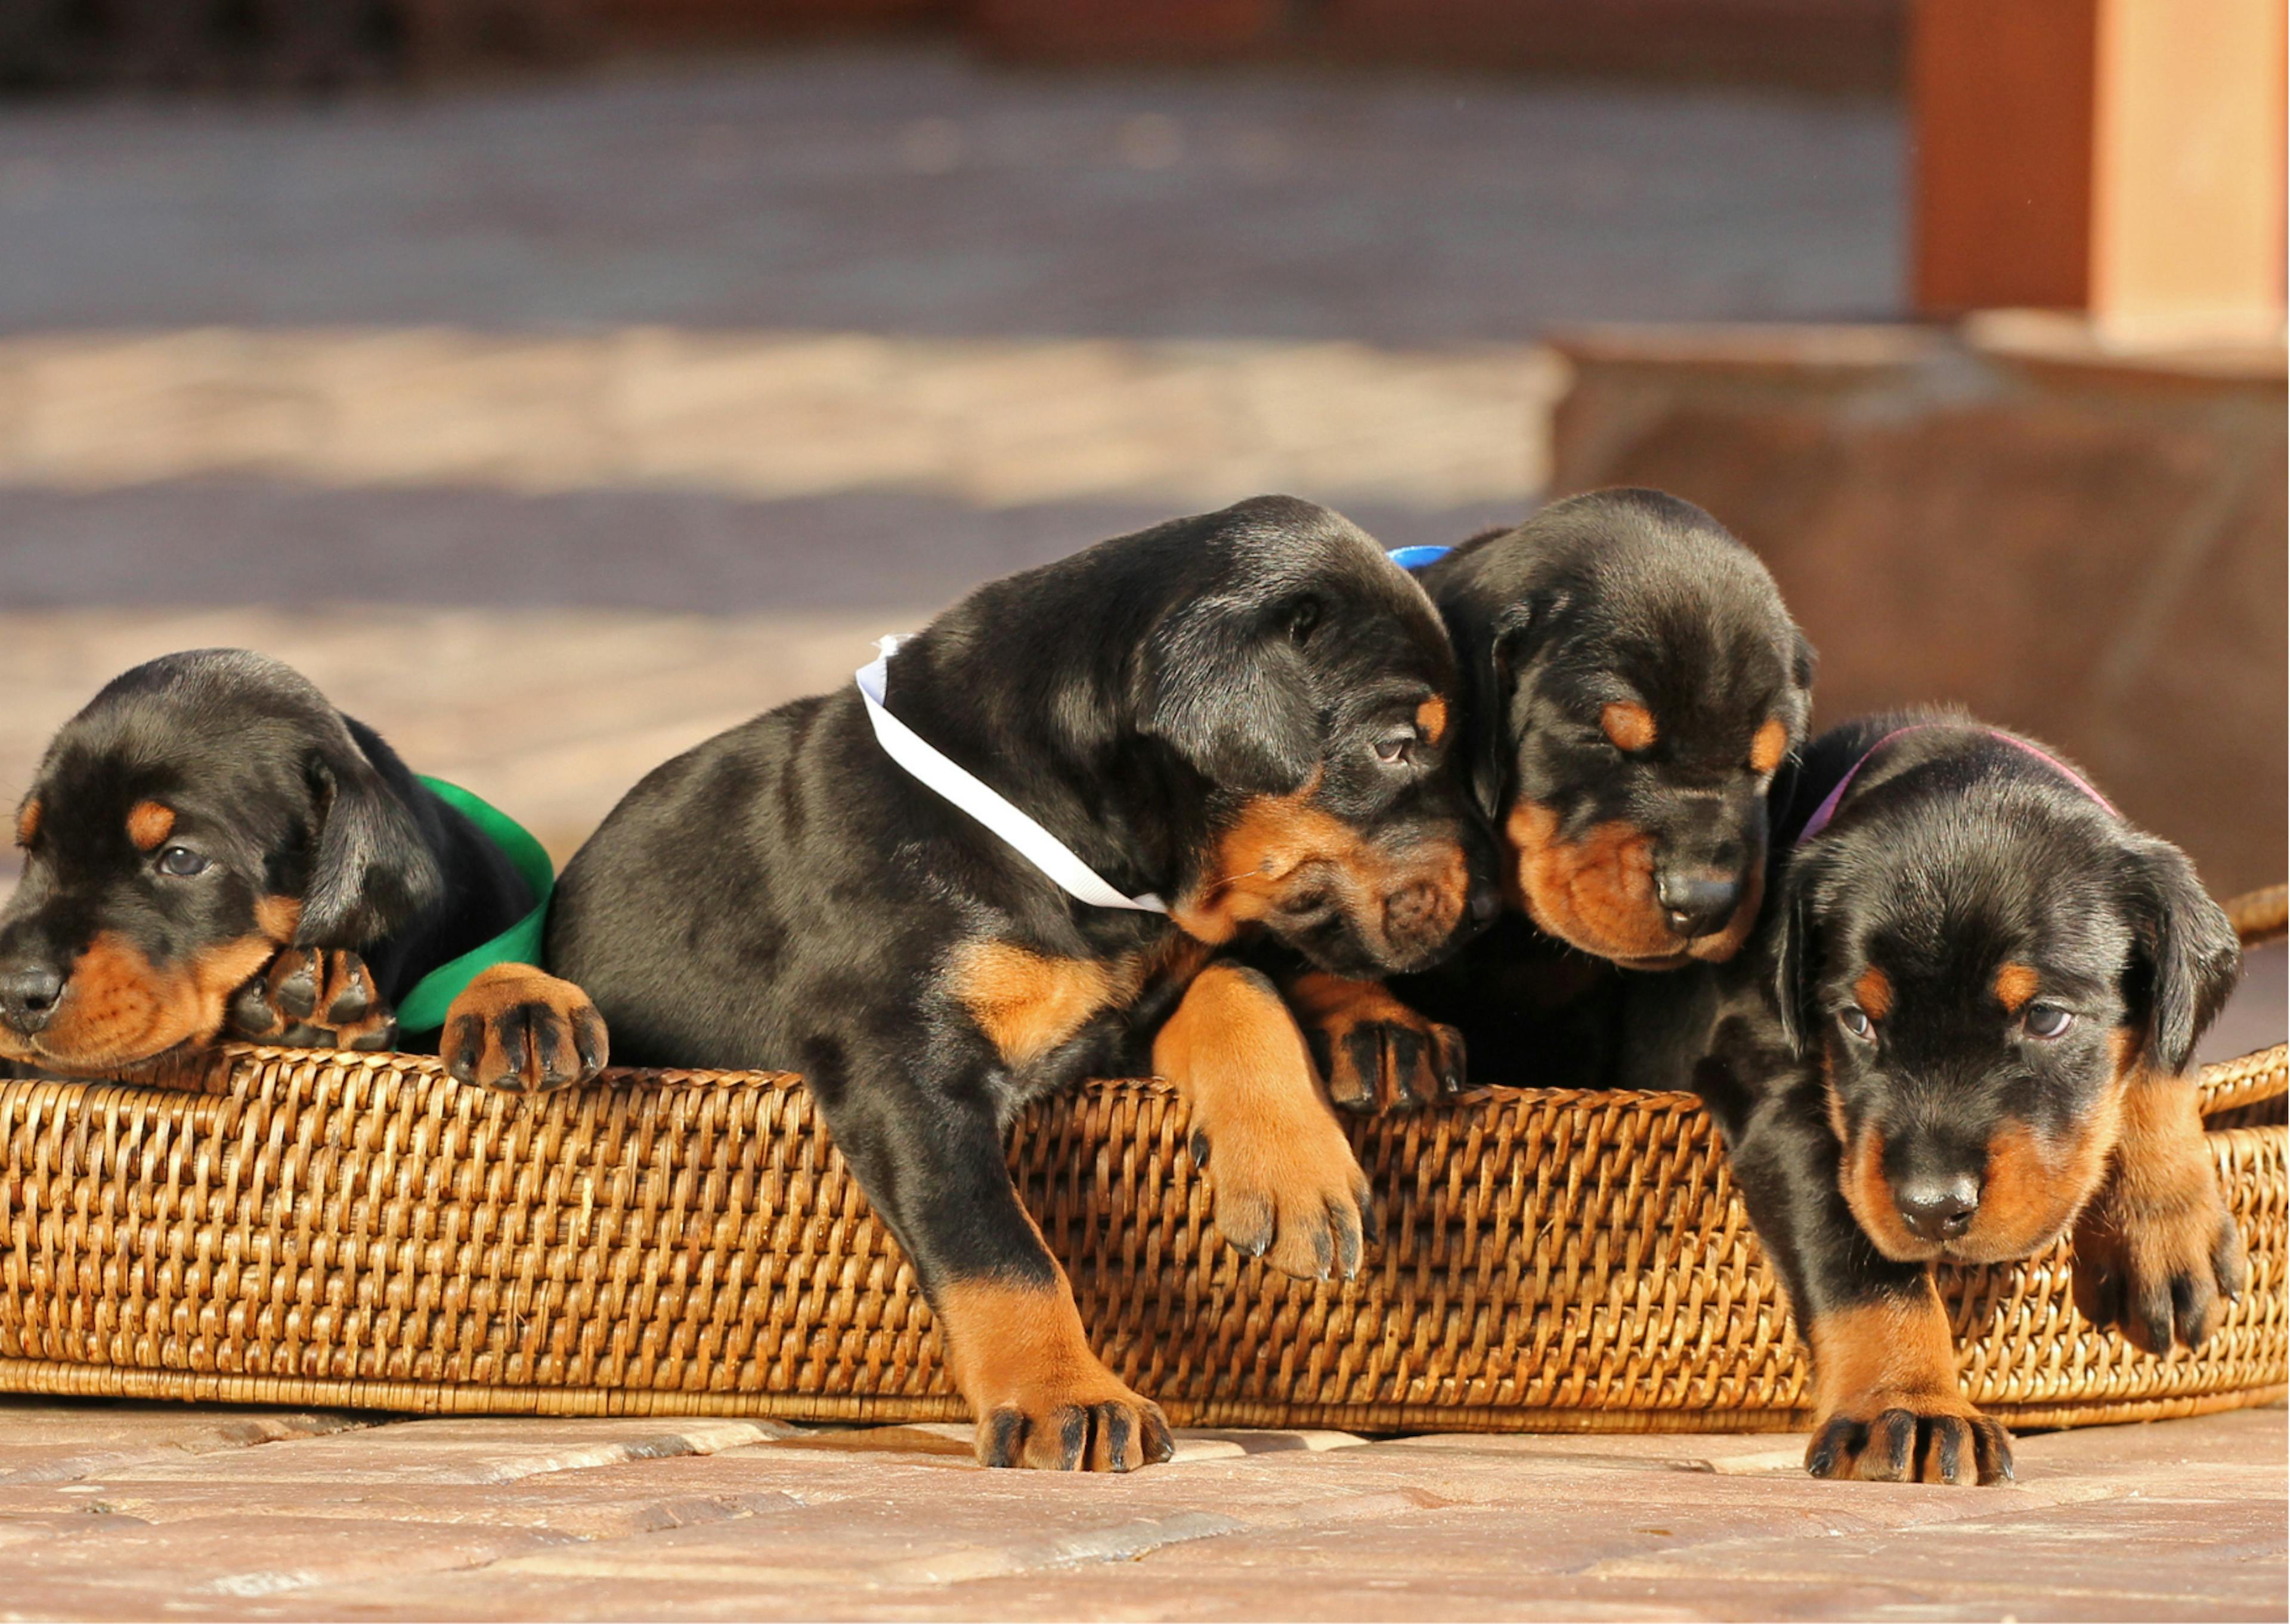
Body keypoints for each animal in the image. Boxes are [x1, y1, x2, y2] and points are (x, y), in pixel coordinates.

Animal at [538, 494, 1502, 1465]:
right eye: (1395, 748)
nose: (1495, 905)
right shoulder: (900, 1065)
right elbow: (995, 1245)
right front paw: (1064, 1397)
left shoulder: (1119, 1013)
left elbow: (1238, 987)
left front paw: (1298, 1176)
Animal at [1630, 710, 2253, 1484]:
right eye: (1856, 1020)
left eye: (2046, 1019)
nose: (1931, 1208)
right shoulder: (1765, 1070)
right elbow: (1857, 1258)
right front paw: (1907, 1403)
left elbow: (2157, 1055)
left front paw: (2159, 1227)